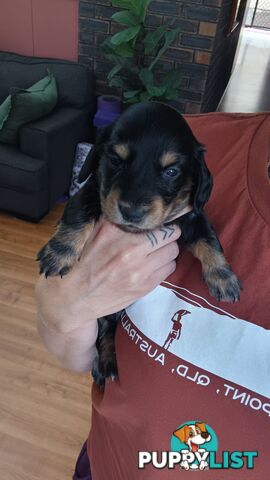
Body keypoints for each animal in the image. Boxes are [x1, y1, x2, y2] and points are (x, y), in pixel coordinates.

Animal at [37, 101, 240, 386]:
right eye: (115, 160)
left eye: (171, 171)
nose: (132, 212)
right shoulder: (90, 191)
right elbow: (78, 215)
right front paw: (59, 253)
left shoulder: (193, 215)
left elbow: (209, 240)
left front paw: (223, 278)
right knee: (104, 330)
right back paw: (104, 364)